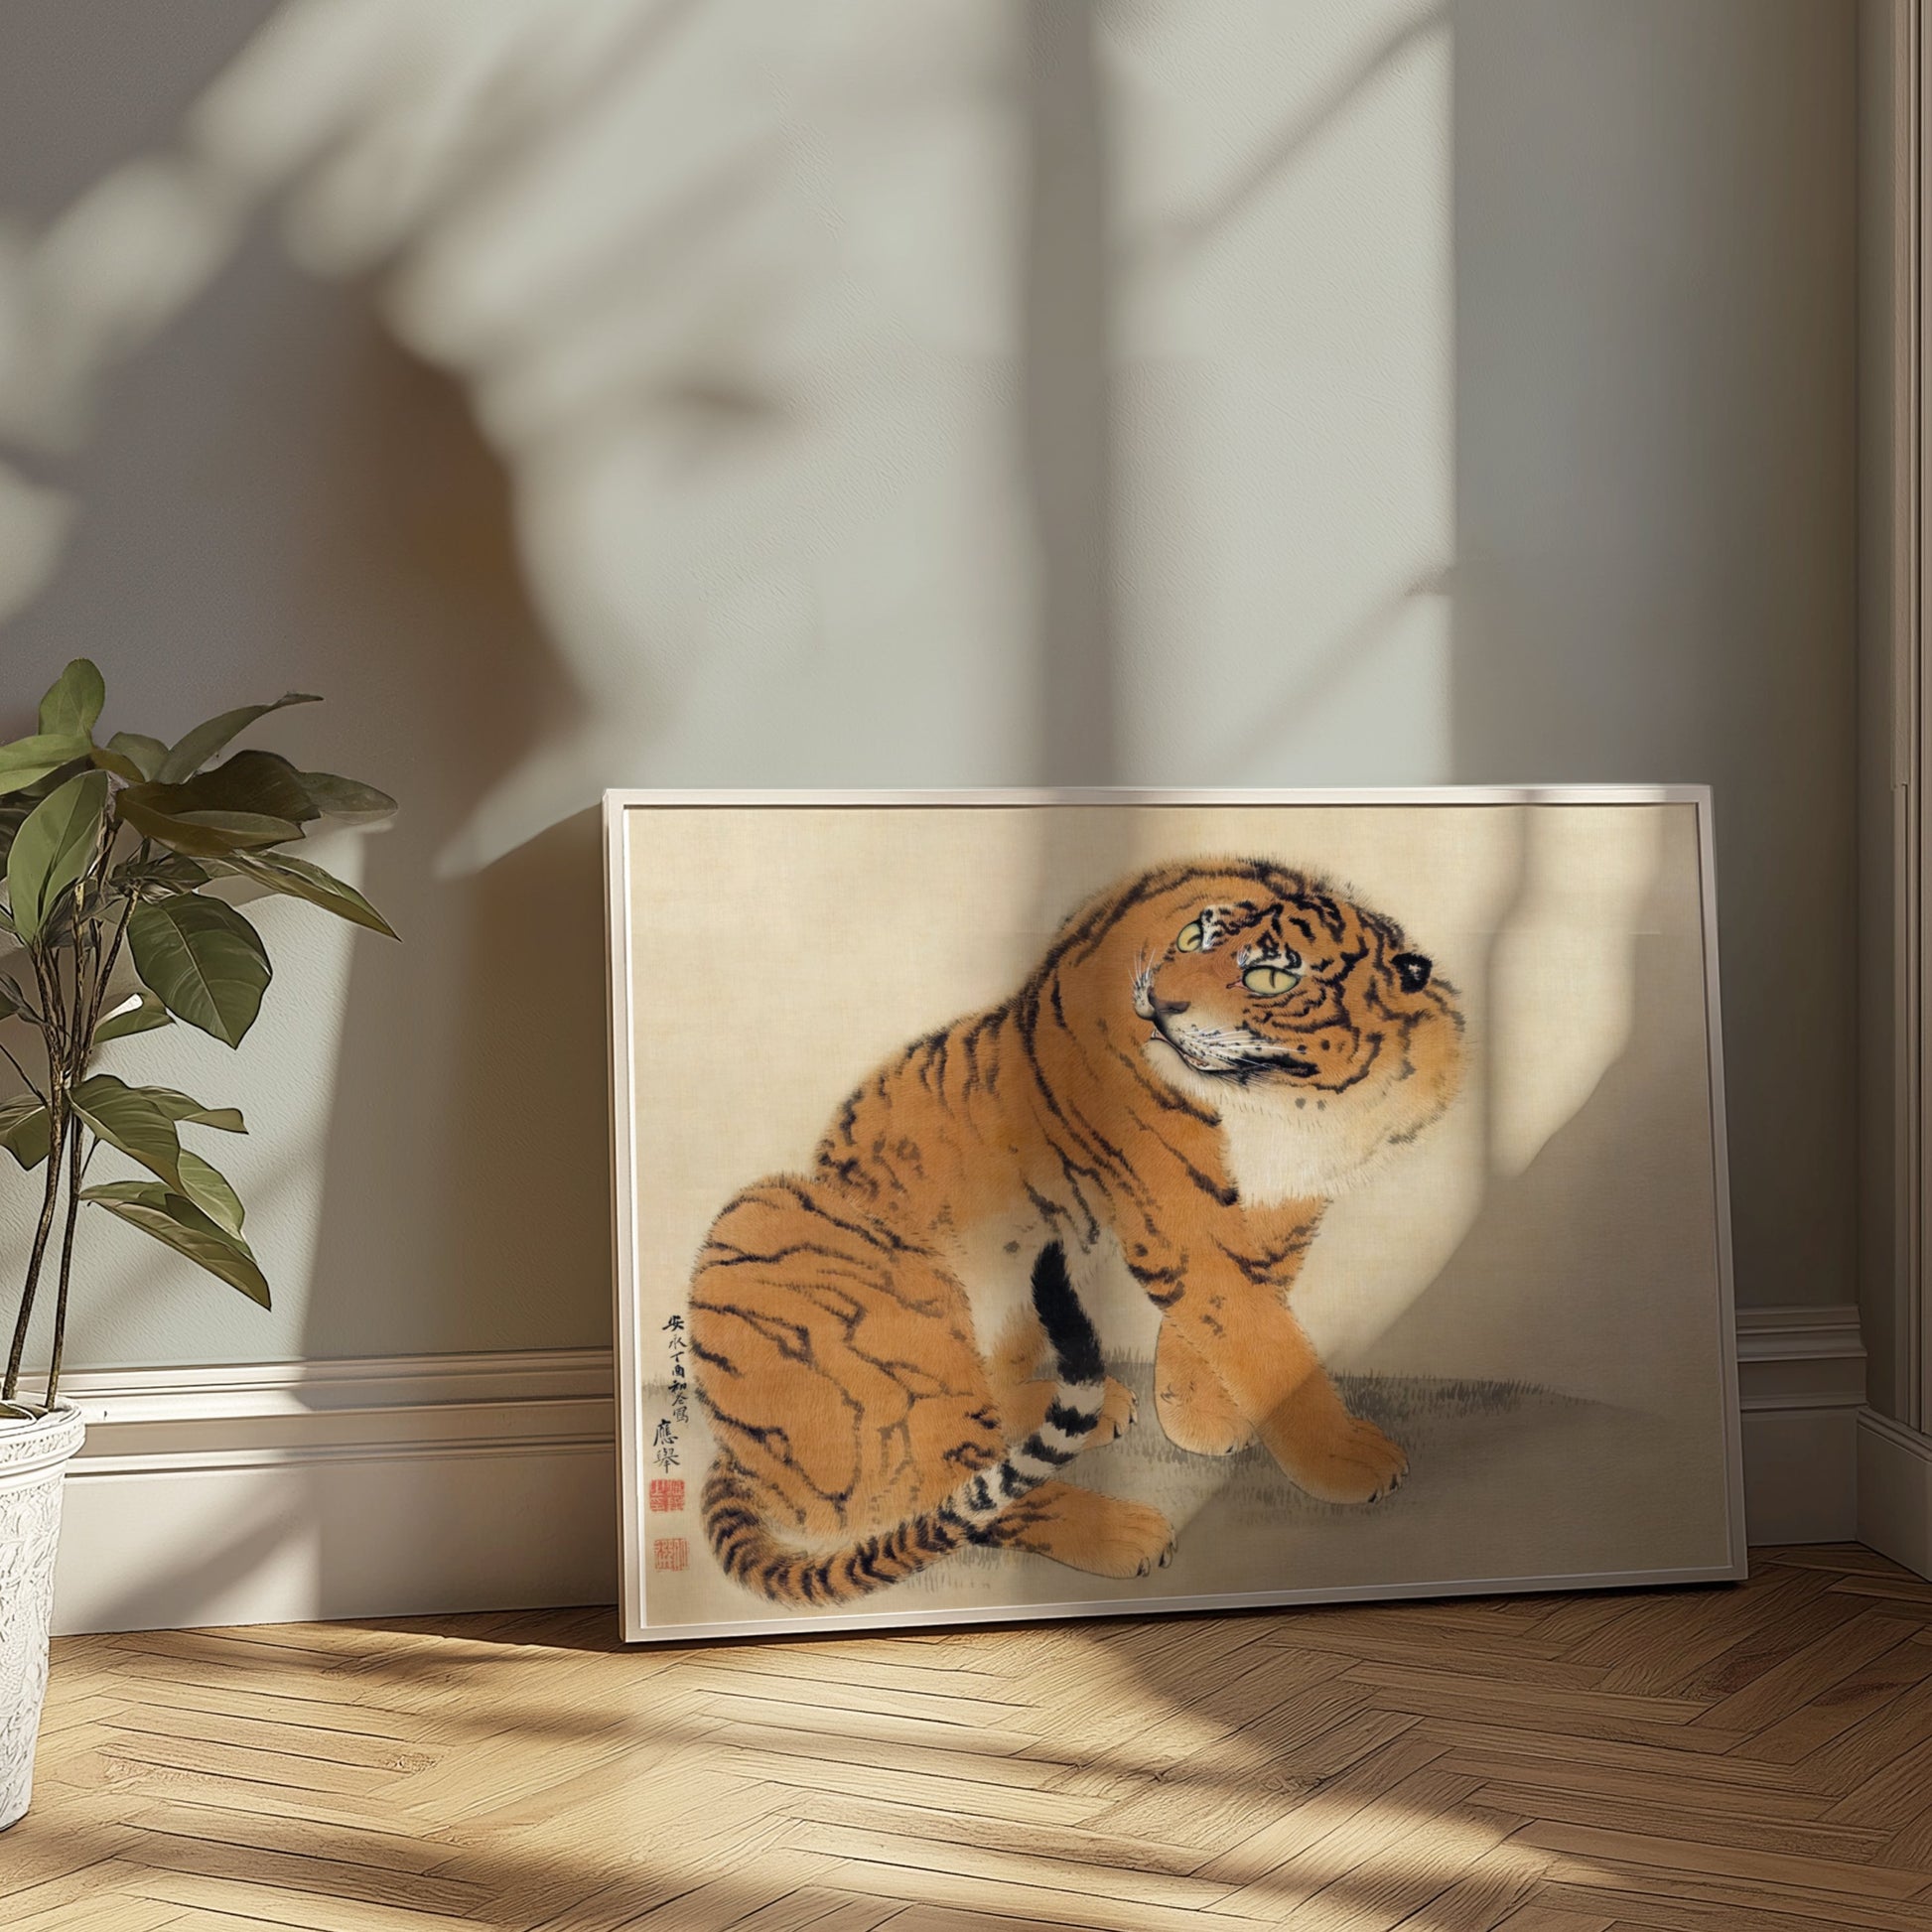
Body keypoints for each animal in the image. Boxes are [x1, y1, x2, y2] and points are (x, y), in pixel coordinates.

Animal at [690, 856, 1465, 1607]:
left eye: (1270, 976)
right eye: (1194, 938)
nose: (1159, 1001)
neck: (1292, 1103)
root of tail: (736, 1454)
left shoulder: (1289, 1204)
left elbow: (1242, 1316)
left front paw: (1198, 1413)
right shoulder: (1176, 1214)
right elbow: (1262, 1337)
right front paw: (1345, 1458)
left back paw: (1100, 1410)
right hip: (806, 1242)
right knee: (953, 1483)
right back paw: (1122, 1532)